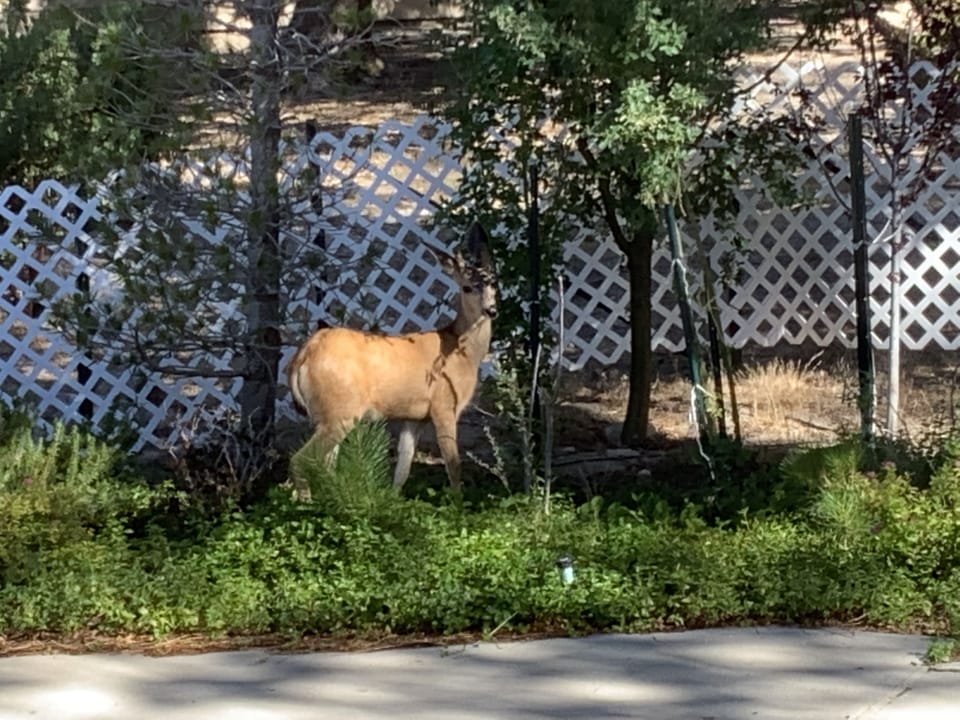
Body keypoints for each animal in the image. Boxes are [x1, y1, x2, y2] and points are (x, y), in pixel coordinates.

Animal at [285, 223, 497, 496]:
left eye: (494, 283)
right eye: (467, 287)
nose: (491, 310)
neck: (463, 351)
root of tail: (304, 354)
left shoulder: (414, 416)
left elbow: (403, 468)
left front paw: (392, 499)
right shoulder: (444, 404)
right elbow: (453, 465)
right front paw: (458, 502)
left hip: (327, 414)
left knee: (325, 463)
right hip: (341, 411)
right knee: (301, 459)